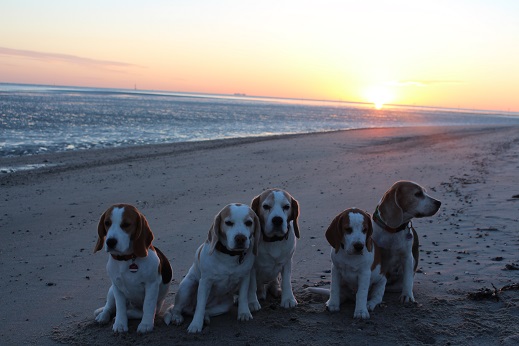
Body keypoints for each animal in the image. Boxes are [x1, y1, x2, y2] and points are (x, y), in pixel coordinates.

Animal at [93, 204, 173, 334]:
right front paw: (120, 324)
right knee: (109, 307)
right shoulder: (117, 287)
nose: (110, 242)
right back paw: (103, 316)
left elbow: (147, 306)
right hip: (111, 291)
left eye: (126, 224)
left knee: (138, 312)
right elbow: (120, 307)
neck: (127, 259)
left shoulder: (151, 285)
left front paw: (146, 324)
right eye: (107, 223)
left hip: (156, 305)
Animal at [164, 203, 258, 332]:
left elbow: (243, 297)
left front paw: (244, 313)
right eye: (228, 223)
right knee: (179, 308)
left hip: (225, 304)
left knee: (200, 310)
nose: (240, 238)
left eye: (249, 222)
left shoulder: (245, 277)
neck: (229, 256)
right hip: (187, 287)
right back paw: (177, 317)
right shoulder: (205, 283)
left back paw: (205, 317)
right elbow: (200, 305)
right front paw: (195, 325)